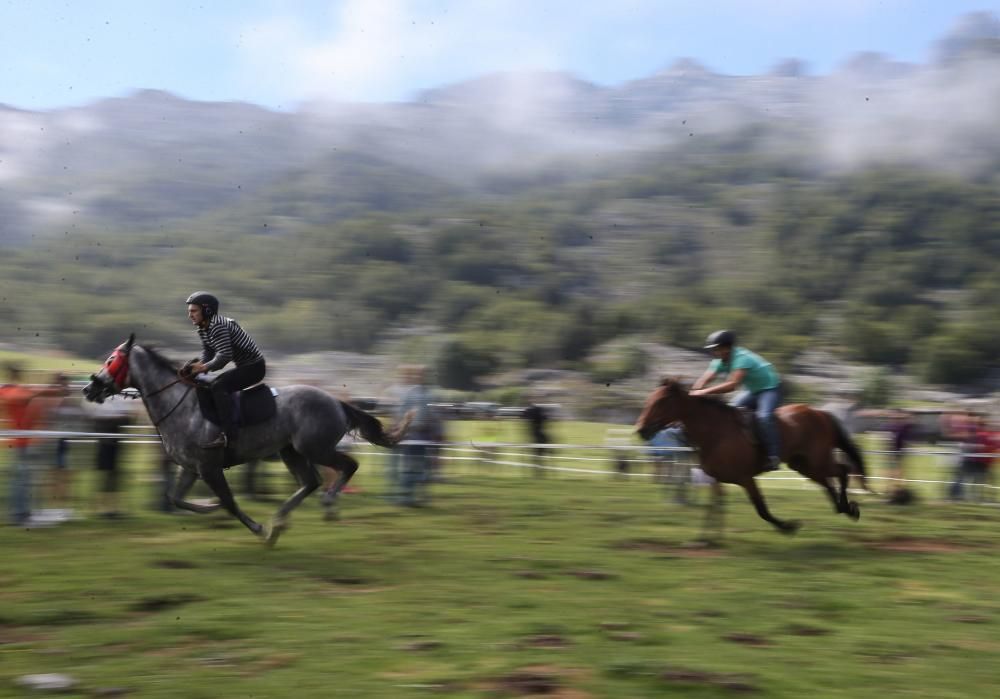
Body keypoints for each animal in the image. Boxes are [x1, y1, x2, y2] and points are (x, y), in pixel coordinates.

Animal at [83, 334, 410, 548]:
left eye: (111, 360)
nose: (89, 389)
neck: (180, 405)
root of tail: (337, 402)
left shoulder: (210, 468)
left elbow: (229, 502)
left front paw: (257, 527)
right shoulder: (191, 467)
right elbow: (176, 498)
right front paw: (209, 506)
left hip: (315, 448)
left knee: (347, 466)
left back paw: (327, 504)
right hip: (291, 451)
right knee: (310, 482)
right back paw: (281, 519)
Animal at [640, 378, 868, 540]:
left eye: (661, 402)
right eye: (649, 400)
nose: (642, 430)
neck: (716, 432)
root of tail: (820, 412)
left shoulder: (745, 478)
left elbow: (762, 510)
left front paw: (788, 526)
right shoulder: (716, 479)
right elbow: (714, 506)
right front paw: (705, 538)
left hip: (816, 460)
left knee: (842, 470)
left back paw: (848, 508)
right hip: (804, 464)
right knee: (828, 480)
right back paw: (842, 507)